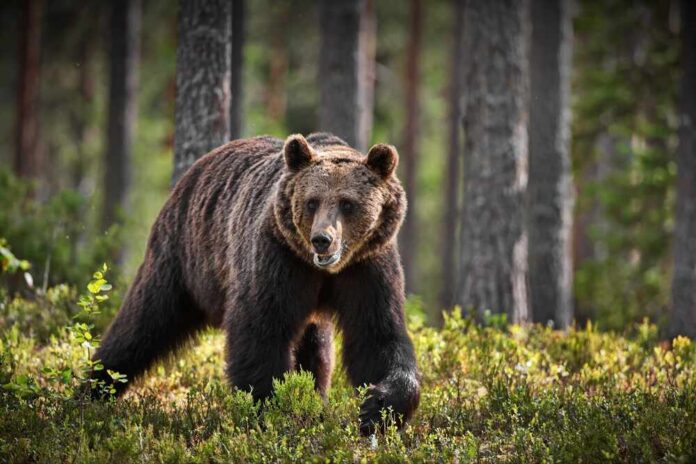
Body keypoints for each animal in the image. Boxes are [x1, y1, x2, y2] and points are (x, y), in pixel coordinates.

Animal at [91, 132, 420, 435]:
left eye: (348, 204)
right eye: (312, 202)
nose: (322, 240)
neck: (323, 271)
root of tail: (193, 172)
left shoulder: (367, 267)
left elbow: (377, 336)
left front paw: (377, 407)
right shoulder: (277, 258)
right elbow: (261, 331)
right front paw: (272, 408)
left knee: (316, 349)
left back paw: (316, 398)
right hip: (182, 258)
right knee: (143, 322)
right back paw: (94, 388)